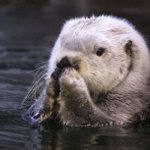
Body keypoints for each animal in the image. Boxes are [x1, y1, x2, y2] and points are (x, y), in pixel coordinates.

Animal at [22, 15, 150, 126]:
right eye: (61, 42)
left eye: (100, 51)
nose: (64, 62)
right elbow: (35, 114)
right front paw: (50, 84)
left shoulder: (127, 107)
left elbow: (87, 117)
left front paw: (72, 80)